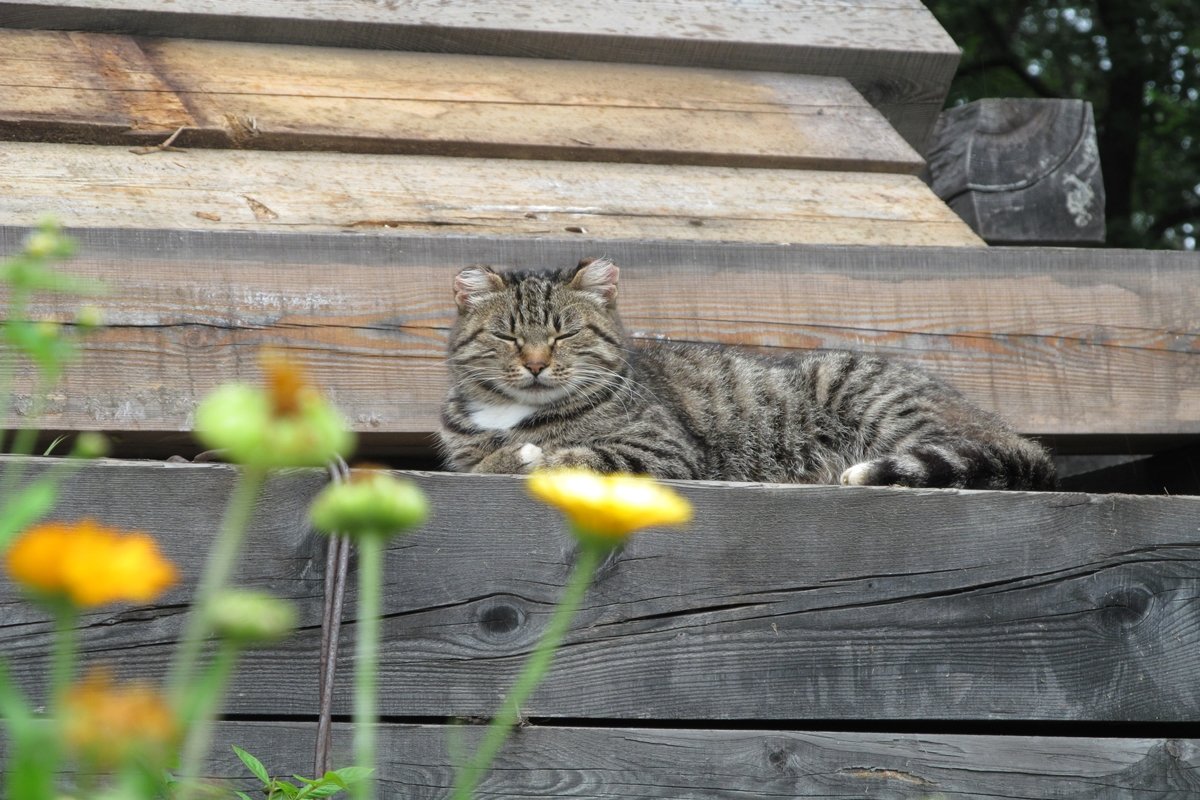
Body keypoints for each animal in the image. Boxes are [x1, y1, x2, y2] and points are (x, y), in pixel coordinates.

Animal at [439, 260, 1051, 491]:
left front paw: (528, 454)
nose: (536, 362)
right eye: (507, 336)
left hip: (862, 390)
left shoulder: (663, 450)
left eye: (564, 334)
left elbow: (574, 454)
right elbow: (483, 461)